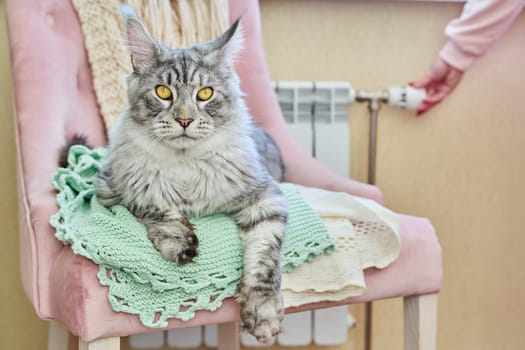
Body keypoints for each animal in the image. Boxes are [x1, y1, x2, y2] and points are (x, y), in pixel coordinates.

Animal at [95, 8, 286, 344]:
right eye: (163, 92)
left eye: (205, 94)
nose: (184, 120)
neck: (184, 164)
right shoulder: (118, 189)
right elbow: (160, 209)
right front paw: (180, 242)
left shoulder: (265, 198)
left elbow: (264, 258)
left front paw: (263, 312)